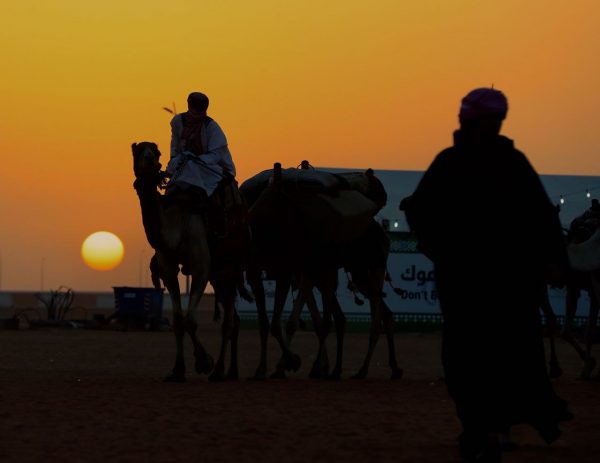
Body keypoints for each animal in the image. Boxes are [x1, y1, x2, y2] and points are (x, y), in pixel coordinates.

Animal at [131, 143, 239, 382]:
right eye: (137, 150)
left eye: (156, 152)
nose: (149, 159)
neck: (175, 227)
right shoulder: (167, 270)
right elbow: (179, 320)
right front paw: (177, 371)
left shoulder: (201, 268)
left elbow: (190, 320)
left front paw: (204, 362)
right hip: (219, 274)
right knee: (232, 317)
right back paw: (231, 372)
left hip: (231, 266)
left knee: (228, 322)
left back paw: (220, 371)